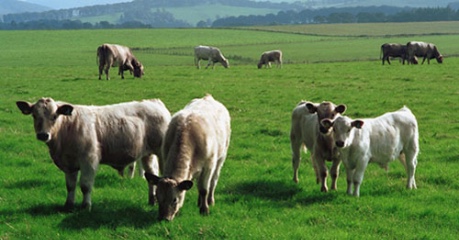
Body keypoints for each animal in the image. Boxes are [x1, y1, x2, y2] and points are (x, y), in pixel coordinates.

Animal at [15, 97, 172, 210]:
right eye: (34, 115)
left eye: (54, 116)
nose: (43, 135)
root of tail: (153, 102)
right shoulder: (69, 164)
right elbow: (70, 185)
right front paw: (68, 205)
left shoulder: (89, 160)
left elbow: (85, 185)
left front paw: (86, 206)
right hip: (147, 155)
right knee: (151, 175)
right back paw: (152, 200)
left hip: (162, 154)